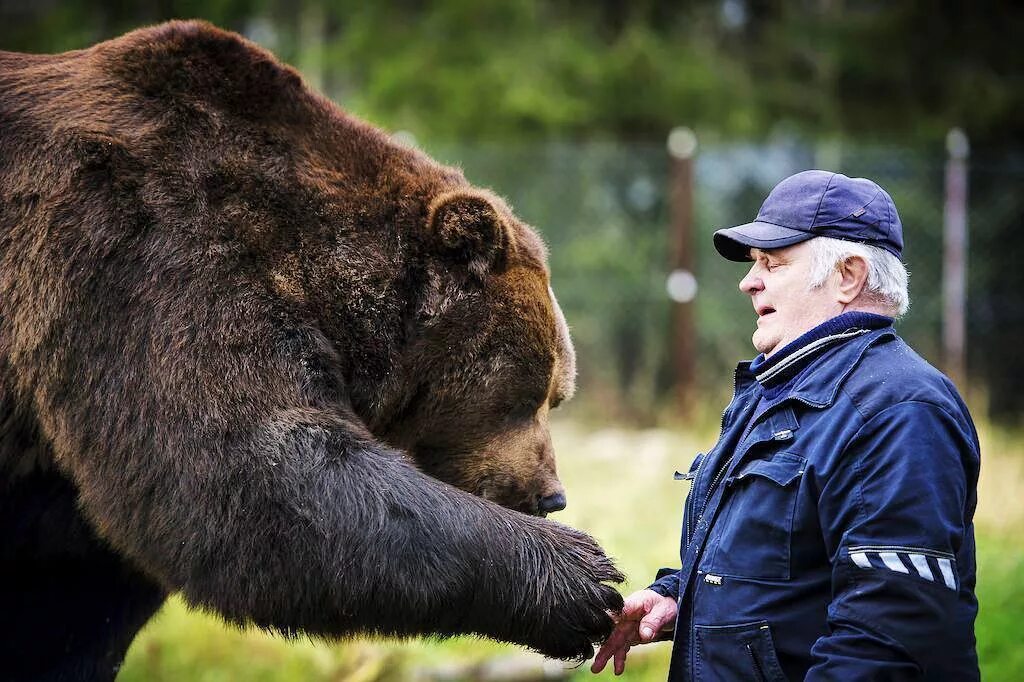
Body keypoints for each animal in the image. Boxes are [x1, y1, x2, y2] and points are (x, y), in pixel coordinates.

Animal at [0, 19, 622, 679]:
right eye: (528, 396)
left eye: (557, 396)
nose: (551, 495)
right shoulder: (147, 254)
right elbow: (251, 470)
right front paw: (583, 577)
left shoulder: (60, 490)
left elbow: (72, 603)